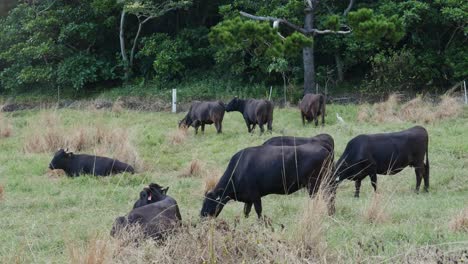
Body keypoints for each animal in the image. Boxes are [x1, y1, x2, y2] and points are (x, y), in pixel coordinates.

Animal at [199, 143, 334, 218]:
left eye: (209, 202)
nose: (201, 216)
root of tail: (323, 148)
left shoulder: (255, 195)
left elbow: (259, 212)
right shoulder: (248, 199)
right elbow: (246, 212)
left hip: (314, 184)